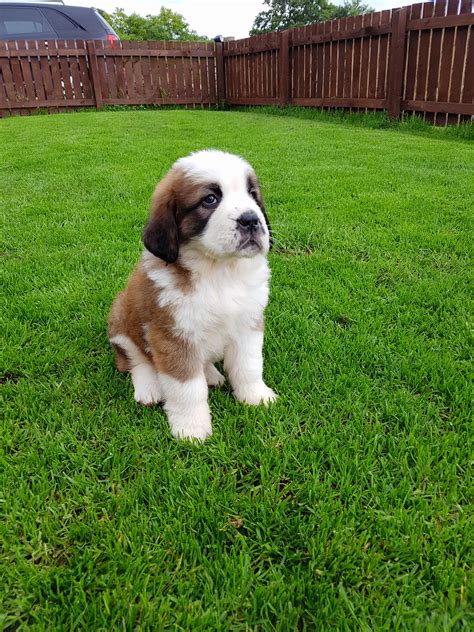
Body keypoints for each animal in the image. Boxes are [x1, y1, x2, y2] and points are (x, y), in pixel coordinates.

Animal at [107, 151, 278, 442]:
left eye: (252, 194)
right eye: (210, 199)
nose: (251, 220)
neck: (220, 272)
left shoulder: (248, 324)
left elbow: (249, 366)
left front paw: (256, 397)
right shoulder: (173, 335)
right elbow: (187, 387)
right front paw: (192, 428)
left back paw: (210, 373)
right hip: (121, 318)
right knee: (136, 360)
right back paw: (148, 388)